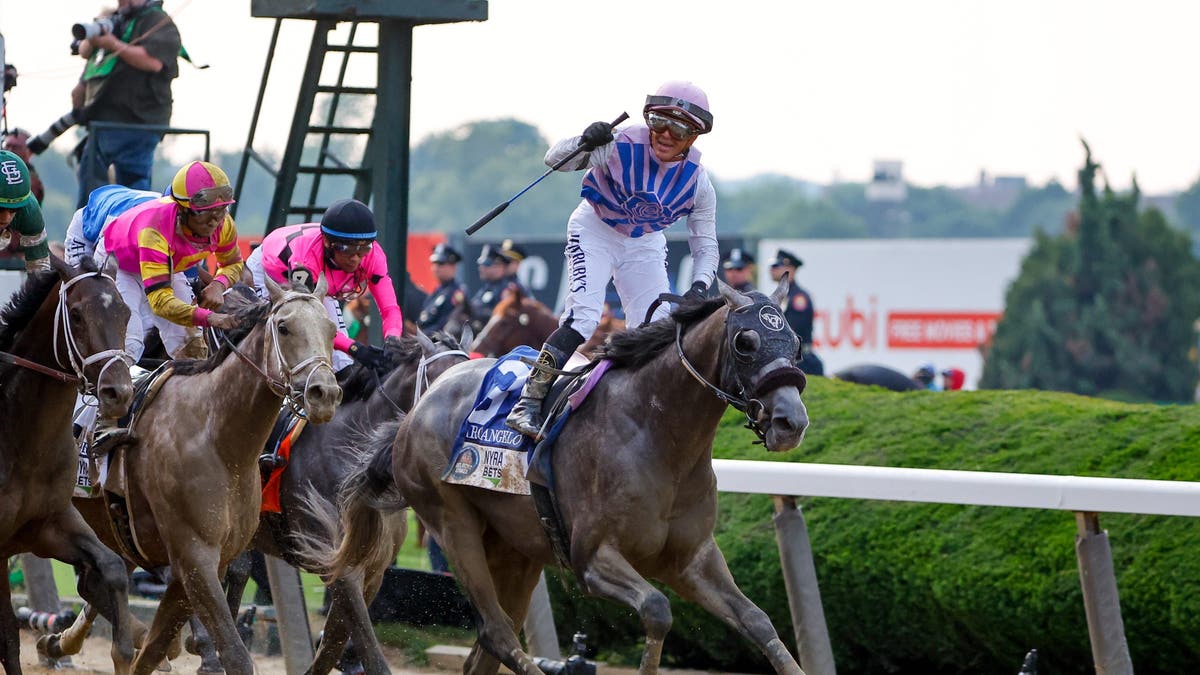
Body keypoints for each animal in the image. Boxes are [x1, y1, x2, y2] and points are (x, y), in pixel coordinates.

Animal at [0, 255, 136, 672]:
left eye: (125, 312)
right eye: (75, 314)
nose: (118, 392)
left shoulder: (49, 524)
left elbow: (112, 569)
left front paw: (125, 650)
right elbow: (6, 639)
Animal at [58, 276, 345, 672]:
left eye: (331, 330)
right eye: (284, 327)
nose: (324, 394)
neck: (219, 440)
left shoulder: (207, 562)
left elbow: (152, 650)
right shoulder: (195, 556)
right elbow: (234, 654)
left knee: (94, 584)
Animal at [321, 275, 806, 672]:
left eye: (796, 343)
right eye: (745, 342)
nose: (792, 421)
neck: (658, 434)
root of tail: (416, 410)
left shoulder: (692, 560)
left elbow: (759, 621)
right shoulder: (593, 559)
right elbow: (656, 609)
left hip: (515, 551)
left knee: (486, 650)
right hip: (453, 524)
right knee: (496, 633)